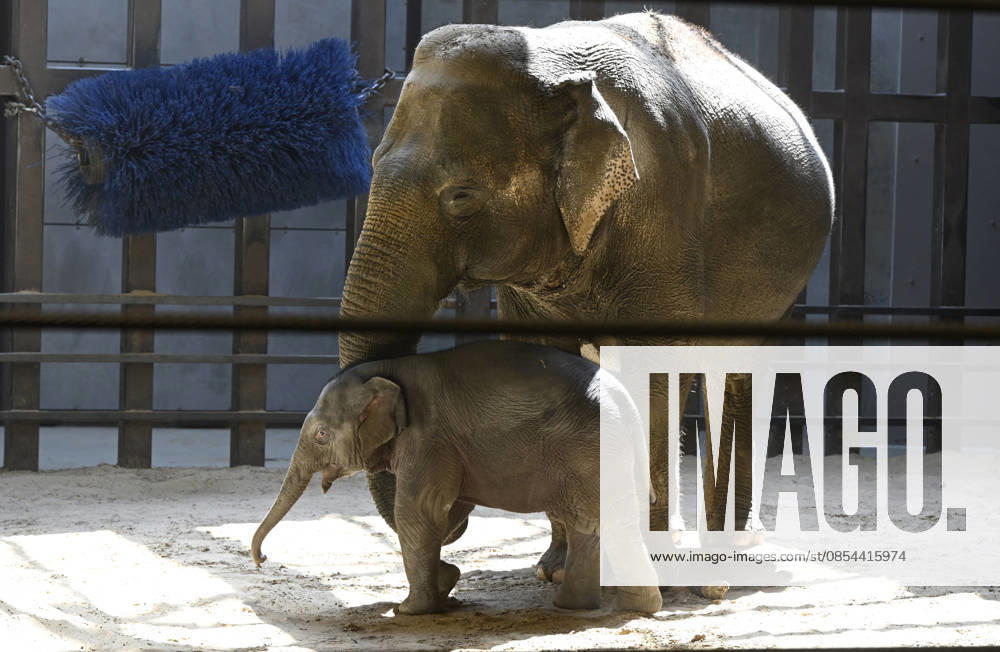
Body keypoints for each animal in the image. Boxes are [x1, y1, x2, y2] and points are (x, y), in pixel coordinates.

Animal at [251, 340, 663, 615]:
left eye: (321, 434)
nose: (262, 559)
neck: (389, 368)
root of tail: (628, 402)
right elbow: (445, 511)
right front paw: (445, 583)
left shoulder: (428, 438)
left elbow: (418, 512)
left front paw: (409, 610)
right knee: (596, 525)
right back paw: (595, 607)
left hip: (588, 451)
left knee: (600, 523)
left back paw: (617, 607)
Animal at [337, 11, 835, 582]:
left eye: (461, 196)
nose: (454, 527)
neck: (554, 59)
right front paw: (556, 569)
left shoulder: (661, 212)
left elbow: (652, 373)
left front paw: (644, 569)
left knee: (732, 371)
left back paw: (733, 556)